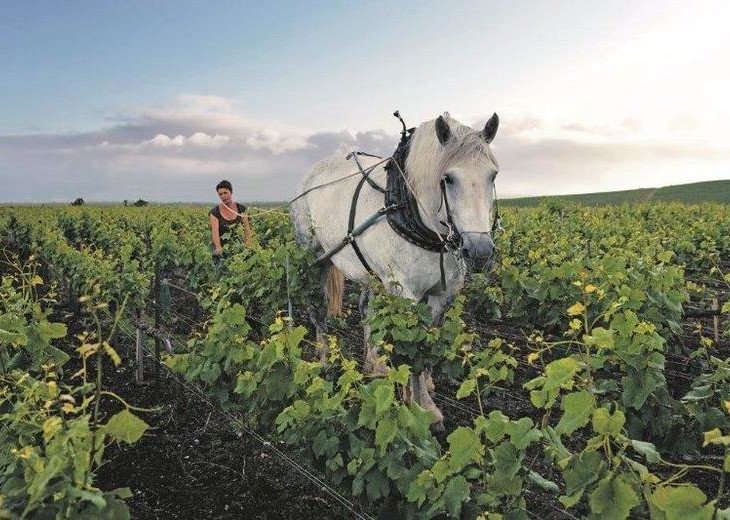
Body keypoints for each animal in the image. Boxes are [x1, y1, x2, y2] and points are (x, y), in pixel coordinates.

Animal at [288, 111, 498, 428]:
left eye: (492, 175)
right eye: (448, 178)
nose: (480, 251)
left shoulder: (443, 293)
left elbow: (430, 340)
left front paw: (425, 387)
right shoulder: (407, 294)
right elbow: (415, 346)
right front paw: (424, 409)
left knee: (366, 308)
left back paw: (375, 364)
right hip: (316, 256)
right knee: (318, 308)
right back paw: (324, 359)